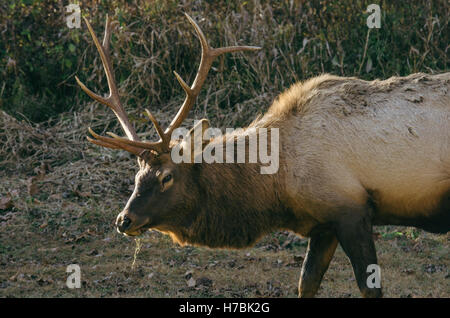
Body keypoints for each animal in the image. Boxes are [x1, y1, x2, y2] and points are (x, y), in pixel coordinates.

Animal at [75, 14, 448, 298]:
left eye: (167, 176)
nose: (124, 220)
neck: (277, 186)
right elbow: (305, 284)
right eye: (137, 175)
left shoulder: (352, 210)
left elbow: (370, 287)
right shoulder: (324, 222)